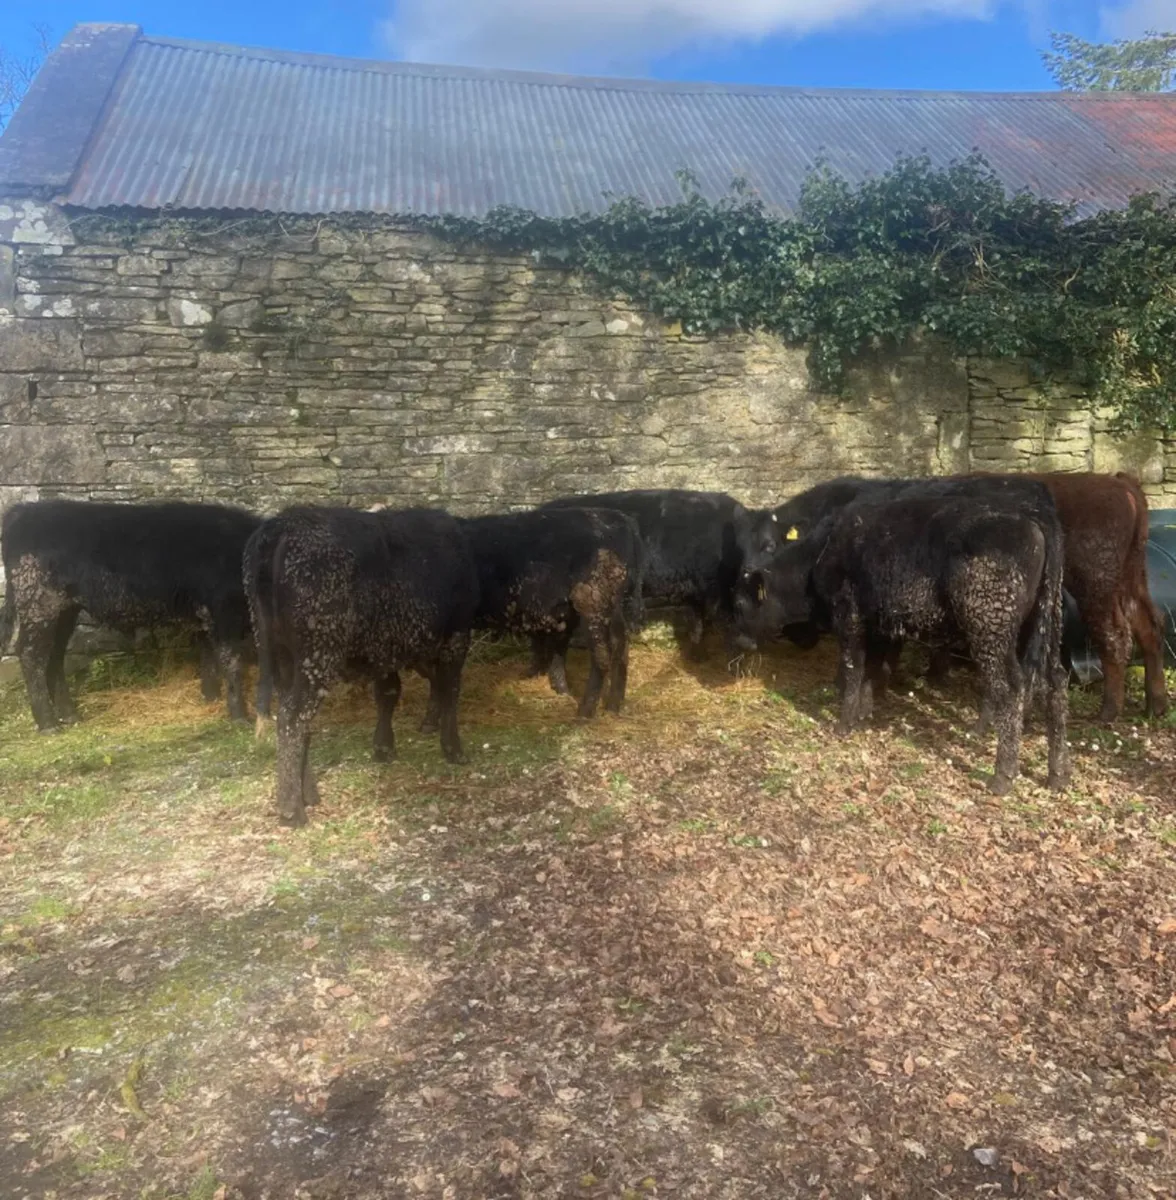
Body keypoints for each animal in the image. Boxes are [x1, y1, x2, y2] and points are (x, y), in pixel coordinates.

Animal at [0, 499, 261, 729]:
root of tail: (20, 512)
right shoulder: (223, 611)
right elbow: (231, 661)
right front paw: (240, 718)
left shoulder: (206, 614)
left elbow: (209, 657)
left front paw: (211, 698)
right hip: (38, 603)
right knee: (30, 654)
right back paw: (49, 724)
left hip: (64, 610)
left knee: (54, 655)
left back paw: (70, 716)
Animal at [245, 505, 479, 827]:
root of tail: (284, 522)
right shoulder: (456, 636)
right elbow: (450, 690)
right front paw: (453, 748)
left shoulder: (385, 646)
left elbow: (389, 692)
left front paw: (384, 747)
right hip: (317, 655)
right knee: (292, 718)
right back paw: (293, 811)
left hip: (280, 655)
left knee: (294, 718)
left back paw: (308, 795)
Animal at [735, 476, 1071, 795]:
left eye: (739, 603)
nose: (740, 642)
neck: (822, 550)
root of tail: (1032, 519)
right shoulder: (881, 624)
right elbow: (873, 669)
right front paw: (863, 714)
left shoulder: (850, 617)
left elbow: (853, 668)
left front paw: (844, 723)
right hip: (1043, 623)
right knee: (1055, 682)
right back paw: (1057, 774)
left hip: (991, 629)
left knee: (1011, 688)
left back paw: (1002, 775)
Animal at [753, 472, 1168, 721]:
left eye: (767, 550)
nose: (795, 638)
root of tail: (1118, 483)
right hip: (1129, 582)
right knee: (1150, 626)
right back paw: (1156, 703)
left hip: (1097, 587)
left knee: (1115, 637)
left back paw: (1108, 712)